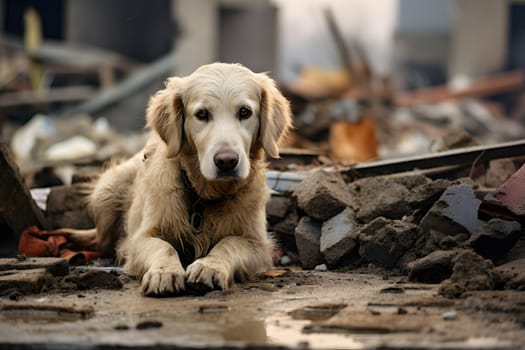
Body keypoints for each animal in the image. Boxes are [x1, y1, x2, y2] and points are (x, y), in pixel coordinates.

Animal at [67, 63, 290, 296]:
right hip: (106, 193)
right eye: (202, 114)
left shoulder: (259, 246)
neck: (203, 195)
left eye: (245, 112)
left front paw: (209, 266)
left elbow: (230, 243)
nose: (227, 161)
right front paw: (164, 272)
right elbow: (163, 246)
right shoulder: (139, 239)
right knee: (101, 240)